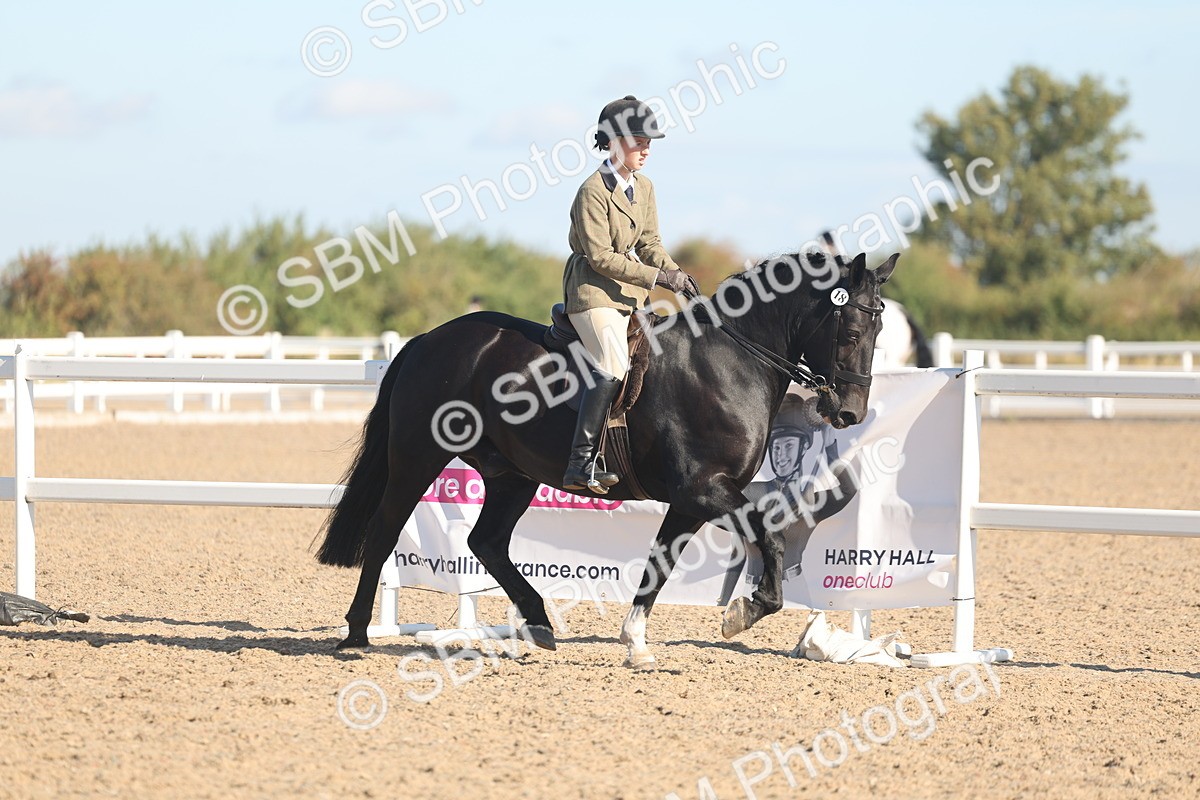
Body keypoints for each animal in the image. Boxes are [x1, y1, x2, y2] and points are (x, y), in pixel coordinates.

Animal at [316, 250, 899, 668]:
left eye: (879, 331)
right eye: (850, 331)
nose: (849, 412)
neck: (731, 362)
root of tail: (429, 339)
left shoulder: (691, 500)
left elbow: (660, 564)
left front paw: (636, 643)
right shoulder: (705, 489)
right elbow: (769, 537)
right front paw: (744, 612)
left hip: (511, 475)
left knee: (486, 541)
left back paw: (538, 623)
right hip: (418, 457)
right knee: (386, 528)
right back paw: (357, 632)